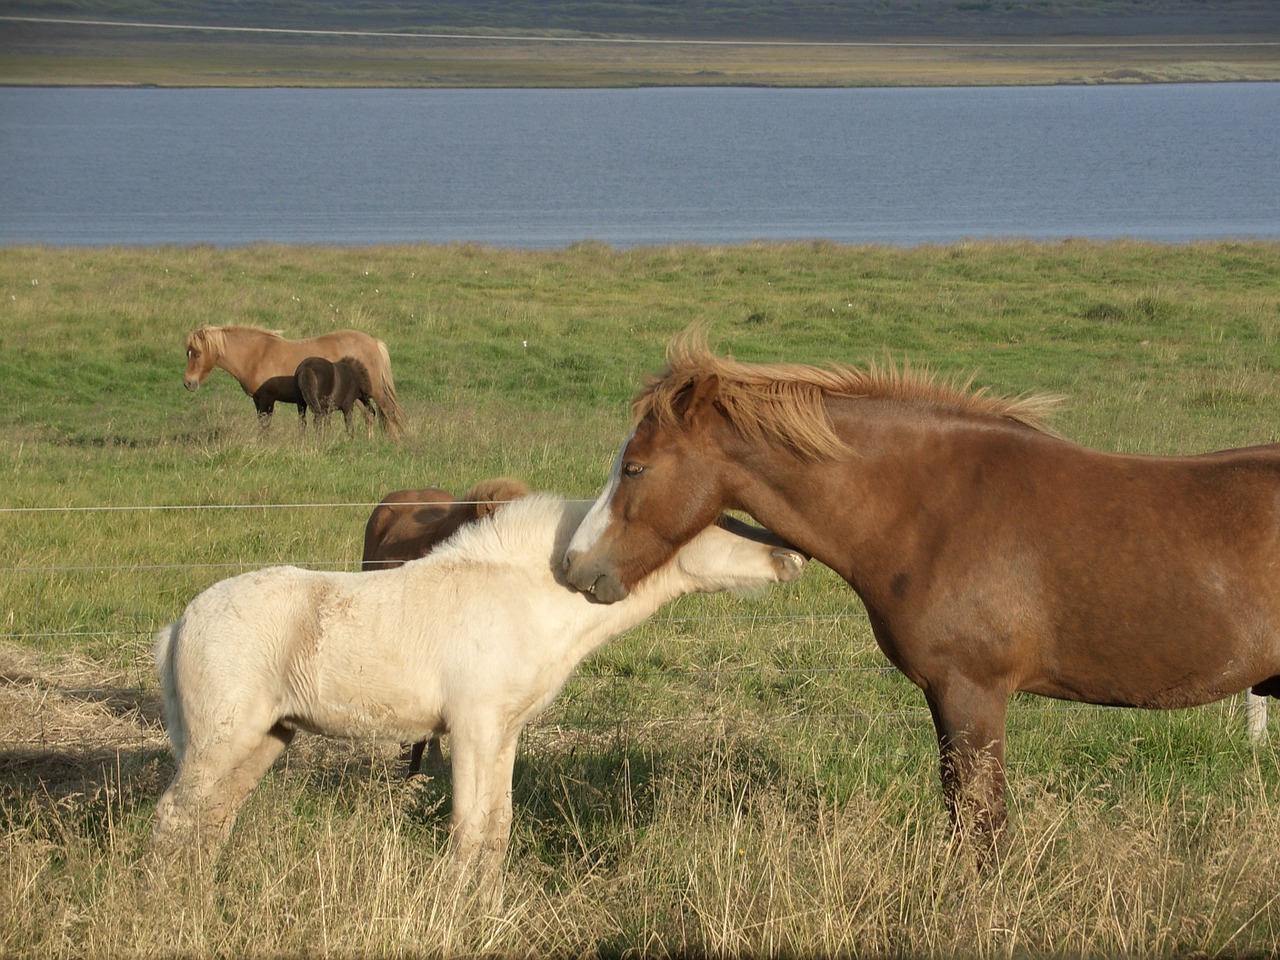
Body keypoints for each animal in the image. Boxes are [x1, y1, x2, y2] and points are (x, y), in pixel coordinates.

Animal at [183, 327, 401, 440]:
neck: (257, 355)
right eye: (188, 353)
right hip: (356, 397)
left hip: (375, 391)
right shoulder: (258, 400)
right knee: (369, 416)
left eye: (198, 353)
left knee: (389, 413)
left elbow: (265, 426)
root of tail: (374, 342)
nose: (188, 383)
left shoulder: (267, 399)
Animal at [565, 327, 1280, 855]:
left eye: (636, 468)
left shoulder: (972, 694)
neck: (932, 508)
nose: (577, 568)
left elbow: (981, 825)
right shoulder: (948, 698)